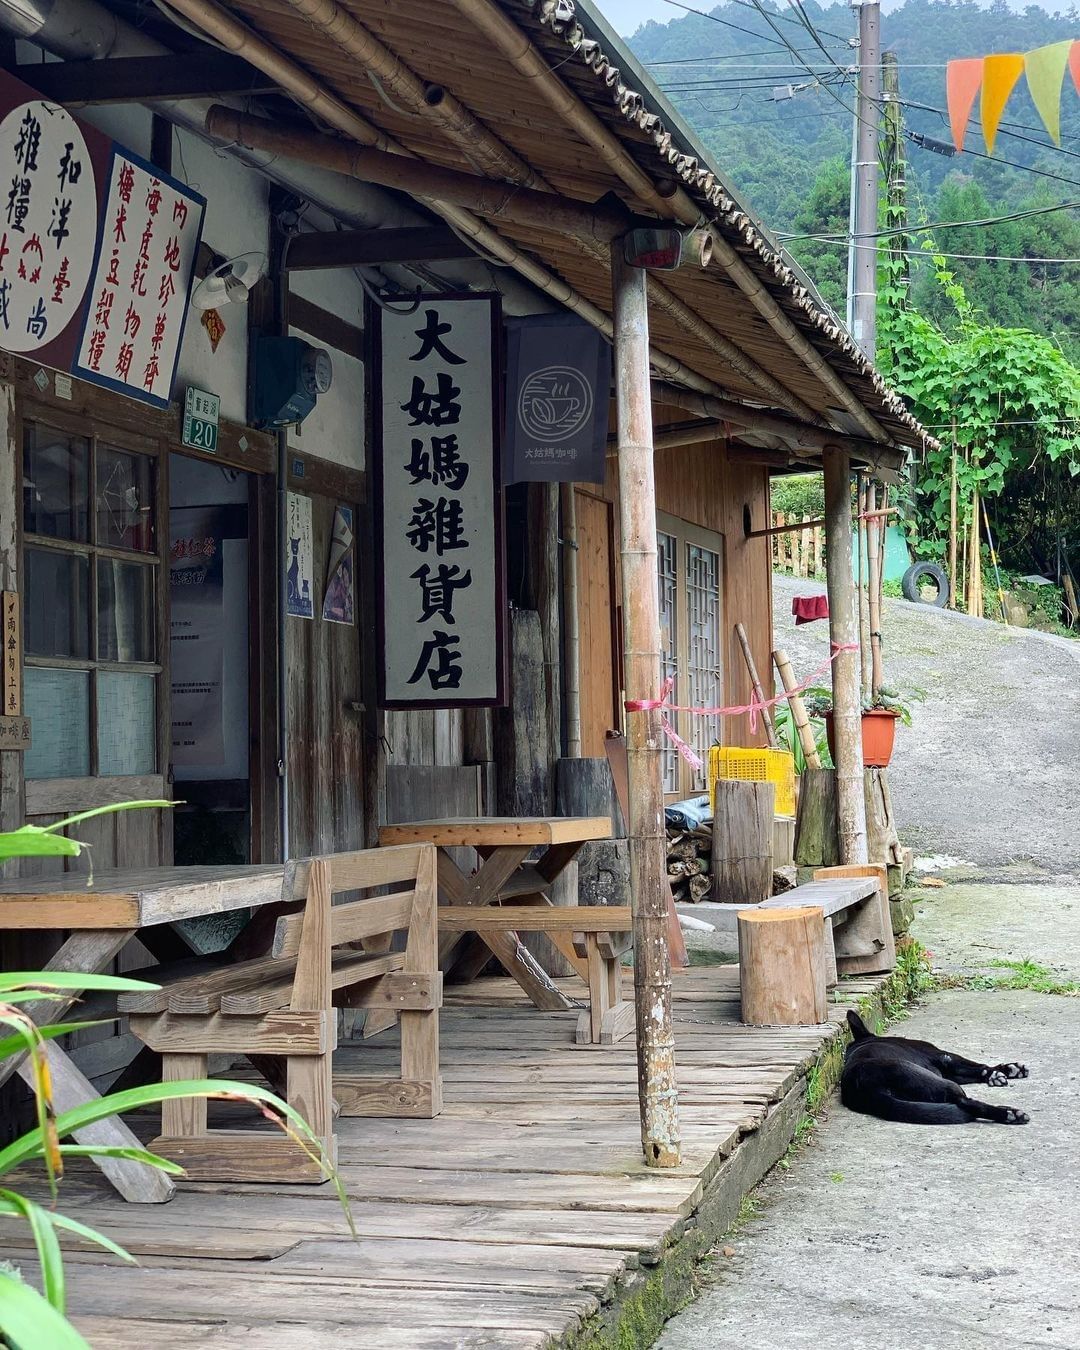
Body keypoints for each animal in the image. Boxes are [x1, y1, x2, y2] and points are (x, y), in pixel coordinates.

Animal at [837, 1009, 1031, 1123]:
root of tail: (866, 1089)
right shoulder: (943, 1057)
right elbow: (976, 1065)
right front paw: (1003, 1070)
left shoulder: (948, 1071)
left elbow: (974, 1070)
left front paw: (1004, 1071)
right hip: (937, 1082)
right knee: (965, 1102)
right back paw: (1009, 1113)